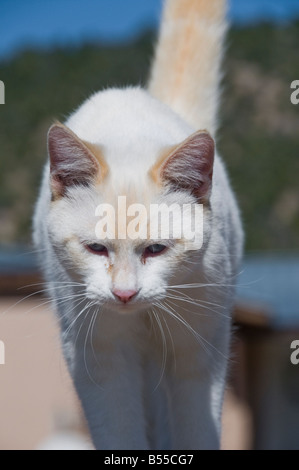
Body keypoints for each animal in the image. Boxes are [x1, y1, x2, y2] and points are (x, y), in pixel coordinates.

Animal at [33, 0, 244, 450]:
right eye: (96, 248)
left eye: (156, 249)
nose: (125, 294)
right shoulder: (98, 359)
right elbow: (119, 429)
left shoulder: (199, 355)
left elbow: (197, 430)